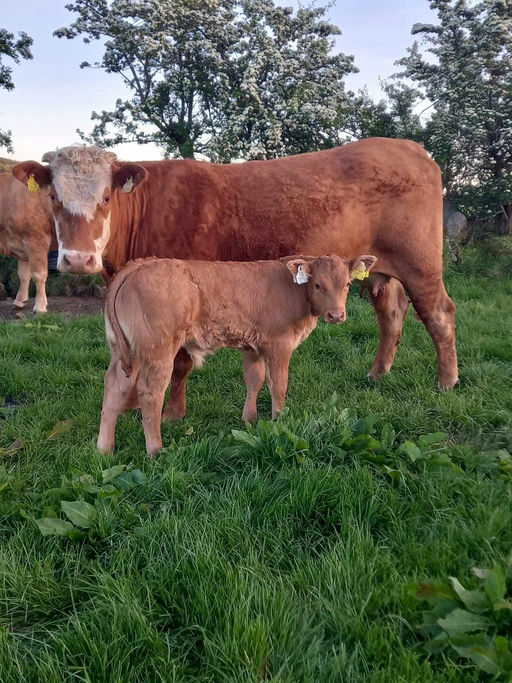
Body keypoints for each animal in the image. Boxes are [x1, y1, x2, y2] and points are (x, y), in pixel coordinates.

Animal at [0, 172, 55, 313]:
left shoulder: (36, 241)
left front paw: (40, 307)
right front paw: (19, 301)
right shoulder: (22, 246)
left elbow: (39, 275)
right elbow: (23, 275)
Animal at [11, 138, 458, 390]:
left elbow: (179, 362)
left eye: (106, 198)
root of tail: (410, 147)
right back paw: (378, 374)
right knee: (392, 314)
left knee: (439, 315)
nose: (78, 259)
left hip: (420, 262)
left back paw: (448, 381)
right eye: (53, 197)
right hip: (379, 268)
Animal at [98, 253, 376, 456]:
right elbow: (278, 385)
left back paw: (104, 449)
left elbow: (254, 380)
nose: (337, 315)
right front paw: (279, 420)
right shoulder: (280, 345)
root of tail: (139, 264)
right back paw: (155, 449)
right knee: (150, 393)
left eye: (347, 284)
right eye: (318, 285)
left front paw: (249, 420)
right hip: (158, 352)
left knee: (114, 387)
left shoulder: (253, 347)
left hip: (125, 353)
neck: (295, 291)